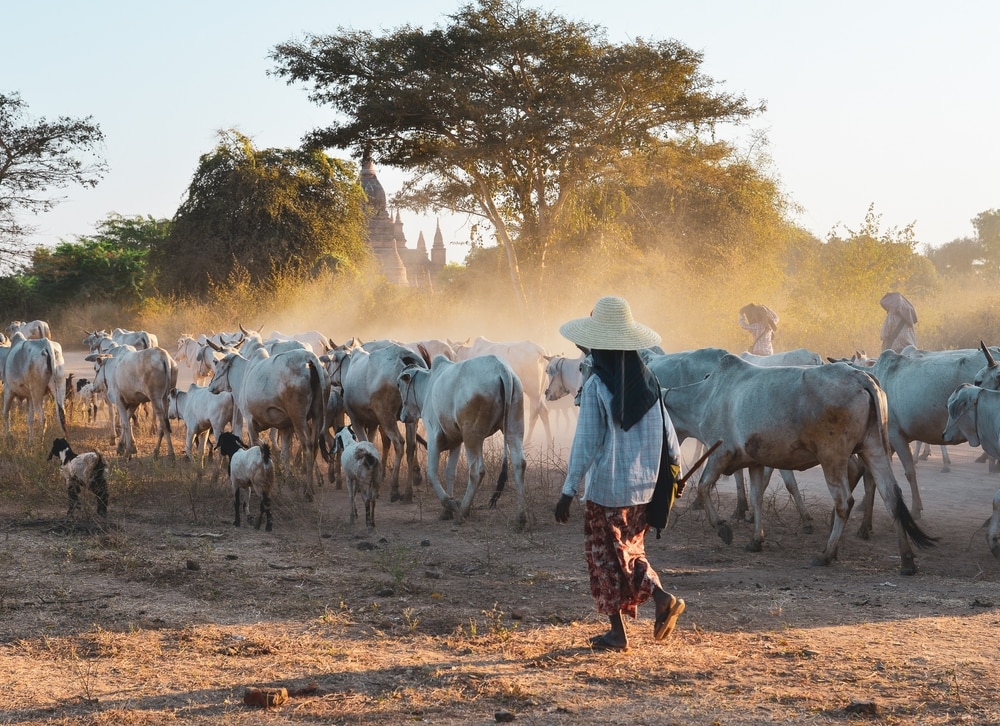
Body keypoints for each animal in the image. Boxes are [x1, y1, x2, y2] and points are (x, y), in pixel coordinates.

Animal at [396, 356, 528, 528]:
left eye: (399, 385)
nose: (402, 416)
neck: (428, 385)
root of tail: (501, 369)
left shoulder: (434, 438)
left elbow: (432, 474)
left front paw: (450, 503)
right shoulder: (456, 442)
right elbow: (450, 473)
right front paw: (446, 512)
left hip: (471, 436)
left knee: (477, 471)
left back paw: (462, 512)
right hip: (513, 429)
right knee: (519, 465)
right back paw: (520, 518)